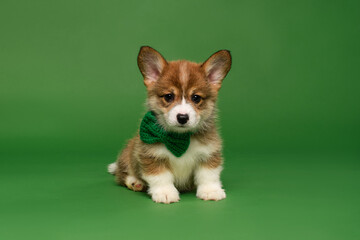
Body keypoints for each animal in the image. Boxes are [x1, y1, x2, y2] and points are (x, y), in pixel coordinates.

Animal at [107, 46, 232, 203]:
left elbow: (208, 174)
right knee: (122, 174)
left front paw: (211, 190)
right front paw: (165, 192)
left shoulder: (208, 152)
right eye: (168, 96)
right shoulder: (151, 155)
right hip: (128, 154)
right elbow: (160, 176)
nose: (182, 117)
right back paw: (135, 182)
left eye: (196, 98)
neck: (180, 138)